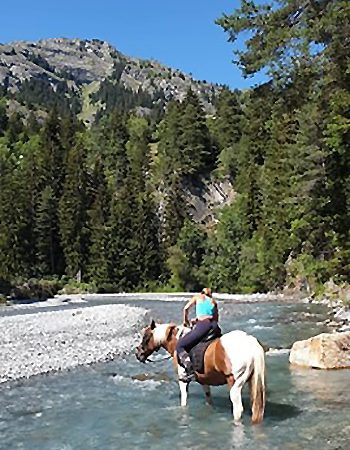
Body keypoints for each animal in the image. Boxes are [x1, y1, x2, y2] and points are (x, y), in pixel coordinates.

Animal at [135, 320, 266, 422]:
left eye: (146, 337)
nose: (138, 355)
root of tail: (250, 343)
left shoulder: (183, 380)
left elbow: (184, 400)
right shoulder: (204, 380)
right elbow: (208, 398)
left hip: (234, 382)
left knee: (238, 409)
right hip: (252, 382)